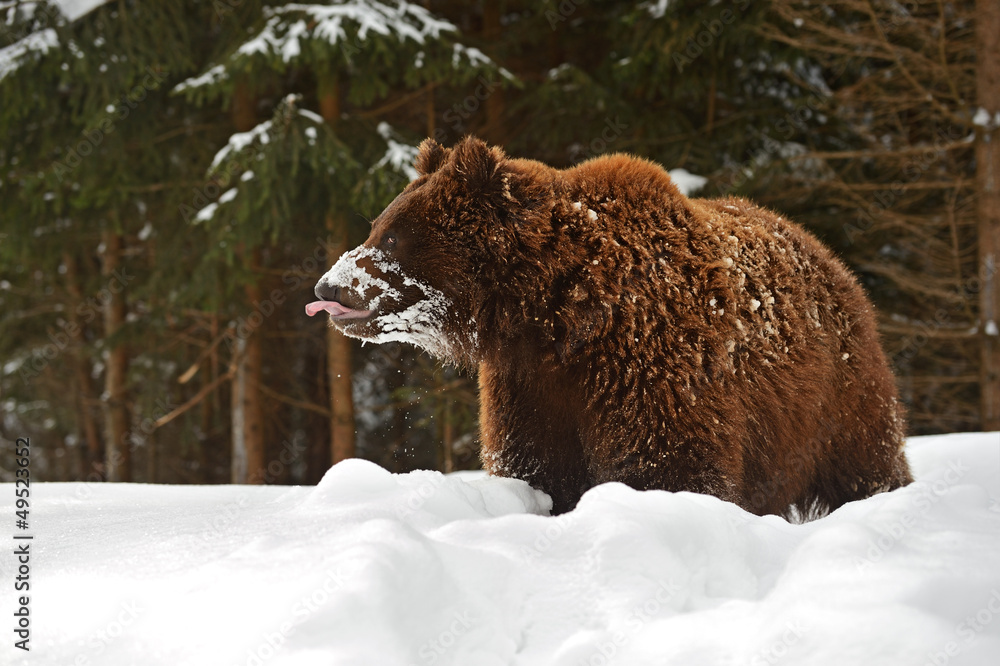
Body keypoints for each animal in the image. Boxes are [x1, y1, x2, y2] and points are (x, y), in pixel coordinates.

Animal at [307, 136, 913, 518]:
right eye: (376, 225)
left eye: (392, 236)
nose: (326, 287)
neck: (554, 319)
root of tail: (826, 253)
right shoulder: (530, 385)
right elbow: (537, 466)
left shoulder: (652, 363)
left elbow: (666, 465)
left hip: (836, 394)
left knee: (866, 460)